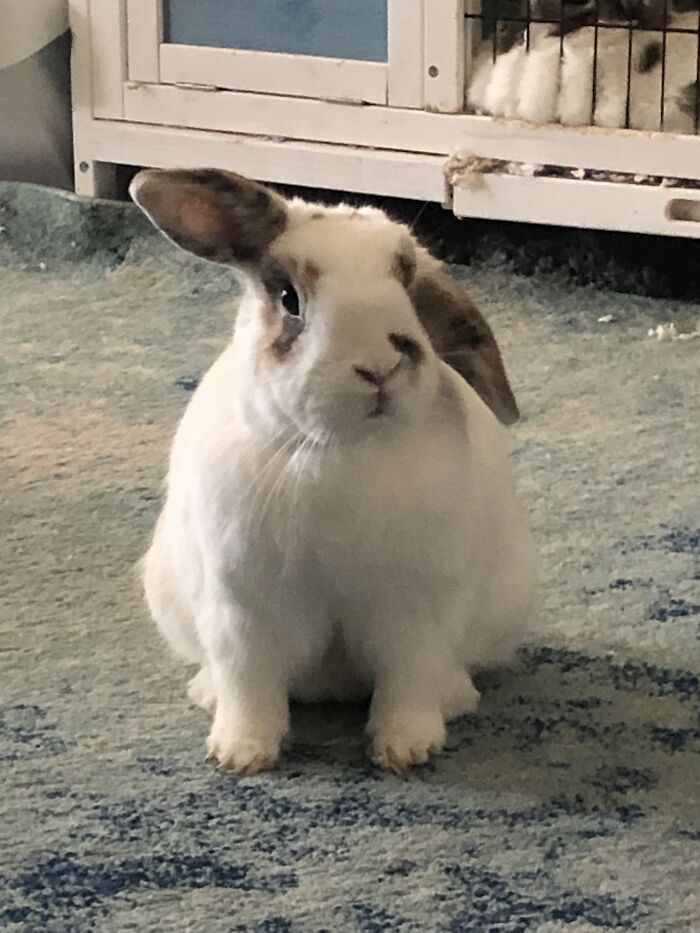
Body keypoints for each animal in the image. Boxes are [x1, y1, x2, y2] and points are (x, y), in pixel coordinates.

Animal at [130, 168, 538, 775]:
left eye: (406, 281)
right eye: (288, 298)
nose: (379, 367)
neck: (336, 451)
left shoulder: (414, 609)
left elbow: (408, 682)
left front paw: (405, 751)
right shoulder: (243, 610)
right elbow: (250, 686)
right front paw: (241, 755)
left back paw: (456, 697)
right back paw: (206, 693)